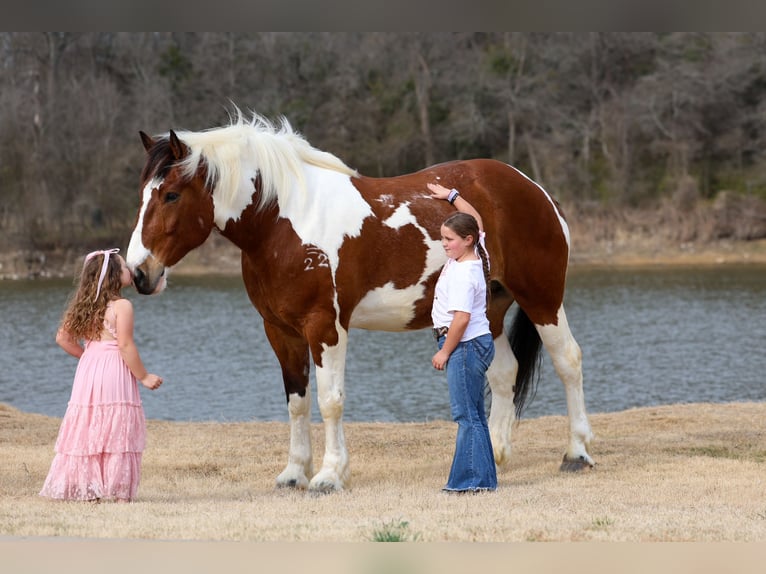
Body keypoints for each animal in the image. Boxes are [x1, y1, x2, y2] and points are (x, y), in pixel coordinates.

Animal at [127, 111, 594, 491]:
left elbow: (330, 400)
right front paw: (294, 474)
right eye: (142, 193)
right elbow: (297, 401)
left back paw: (577, 453)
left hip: (542, 297)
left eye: (171, 195)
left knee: (569, 360)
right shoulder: (280, 329)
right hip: (488, 309)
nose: (139, 272)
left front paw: (330, 475)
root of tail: (535, 190)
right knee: (502, 373)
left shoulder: (325, 326)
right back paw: (496, 455)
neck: (284, 222)